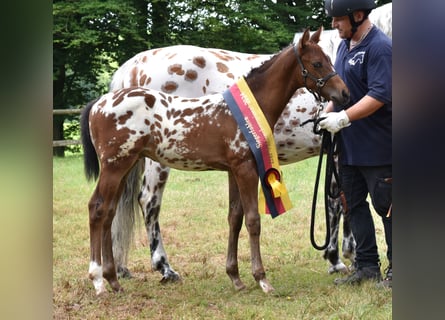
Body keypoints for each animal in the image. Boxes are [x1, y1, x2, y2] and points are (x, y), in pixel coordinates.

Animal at [81, 28, 348, 296]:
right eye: (317, 63)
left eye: (329, 59)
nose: (344, 93)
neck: (249, 108)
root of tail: (99, 103)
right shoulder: (246, 169)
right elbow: (254, 220)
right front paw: (262, 279)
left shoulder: (234, 170)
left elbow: (235, 218)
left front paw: (235, 277)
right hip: (117, 167)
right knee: (102, 208)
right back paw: (102, 279)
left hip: (124, 167)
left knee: (109, 212)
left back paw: (113, 279)